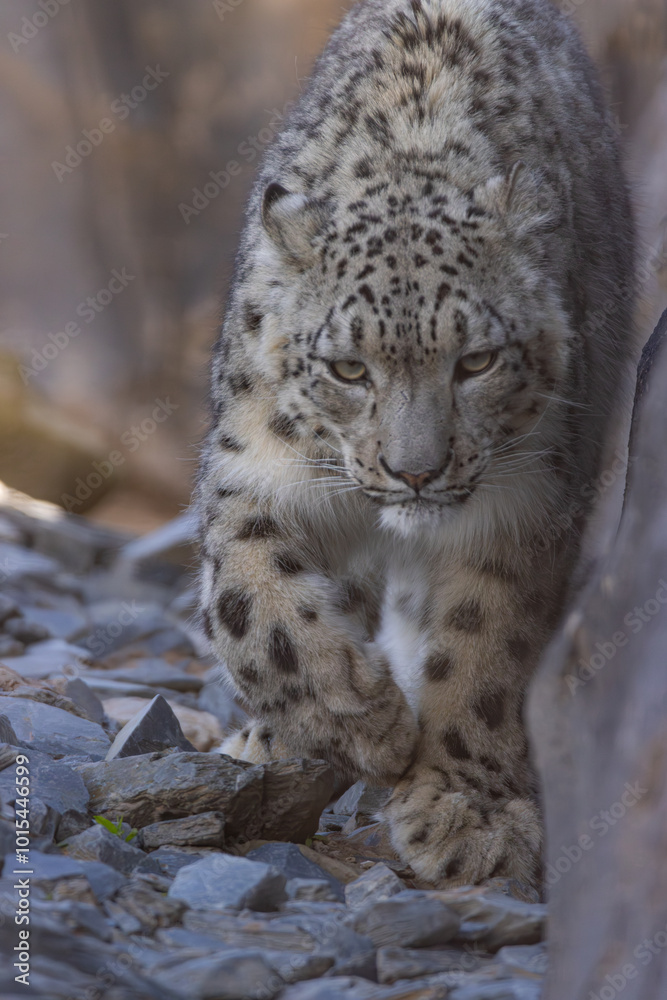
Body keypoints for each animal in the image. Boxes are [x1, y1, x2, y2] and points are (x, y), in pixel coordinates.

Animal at [195, 0, 636, 890]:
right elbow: (252, 603)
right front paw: (359, 717)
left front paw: (469, 811)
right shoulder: (255, 471)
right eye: (346, 367)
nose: (415, 471)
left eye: (475, 361)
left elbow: (484, 645)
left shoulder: (524, 502)